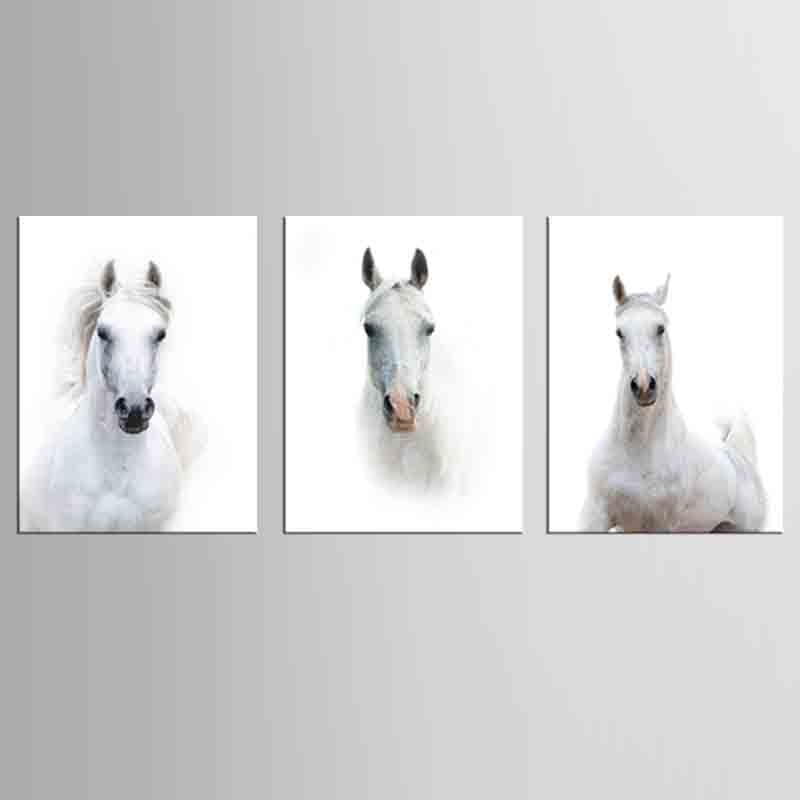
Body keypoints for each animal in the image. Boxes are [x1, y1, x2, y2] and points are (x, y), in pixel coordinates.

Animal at [578, 274, 766, 532]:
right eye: (619, 332)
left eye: (660, 328)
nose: (643, 386)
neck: (637, 450)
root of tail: (738, 457)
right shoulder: (595, 516)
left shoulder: (658, 526)